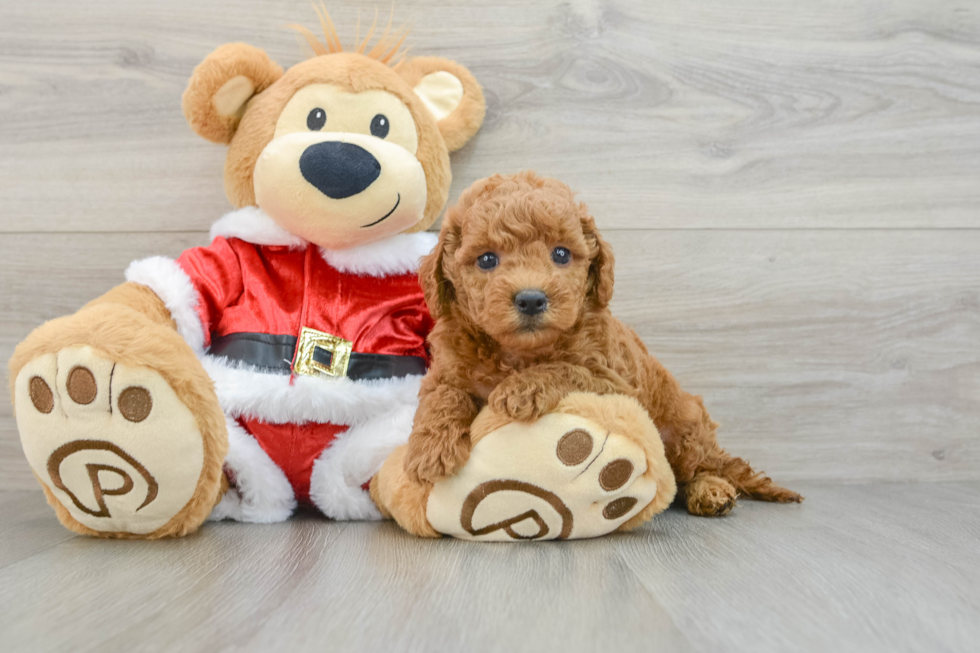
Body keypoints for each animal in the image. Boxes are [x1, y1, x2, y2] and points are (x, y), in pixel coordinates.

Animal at [408, 169, 804, 516]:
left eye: (561, 254)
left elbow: (568, 369)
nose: (532, 299)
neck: (520, 352)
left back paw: (711, 491)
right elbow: (442, 396)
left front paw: (522, 389)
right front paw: (429, 450)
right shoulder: (447, 369)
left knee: (696, 470)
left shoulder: (615, 383)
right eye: (487, 259)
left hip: (685, 430)